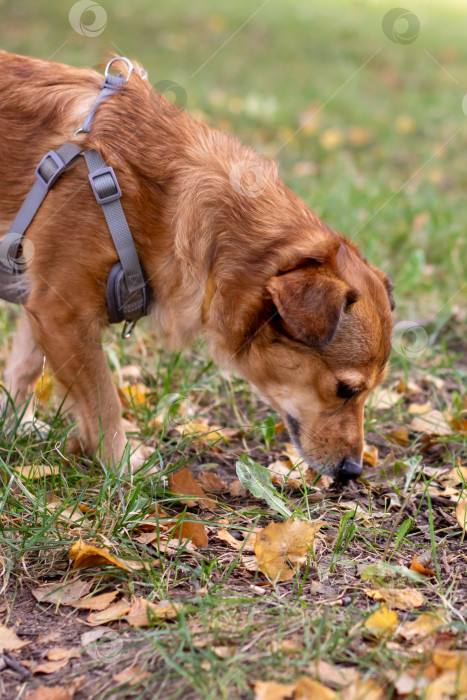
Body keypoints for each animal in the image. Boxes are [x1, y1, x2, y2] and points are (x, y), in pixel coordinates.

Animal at [0, 52, 394, 484]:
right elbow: (104, 403)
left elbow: (23, 369)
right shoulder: (61, 313)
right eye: (345, 389)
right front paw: (122, 465)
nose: (353, 471)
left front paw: (13, 425)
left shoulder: (41, 305)